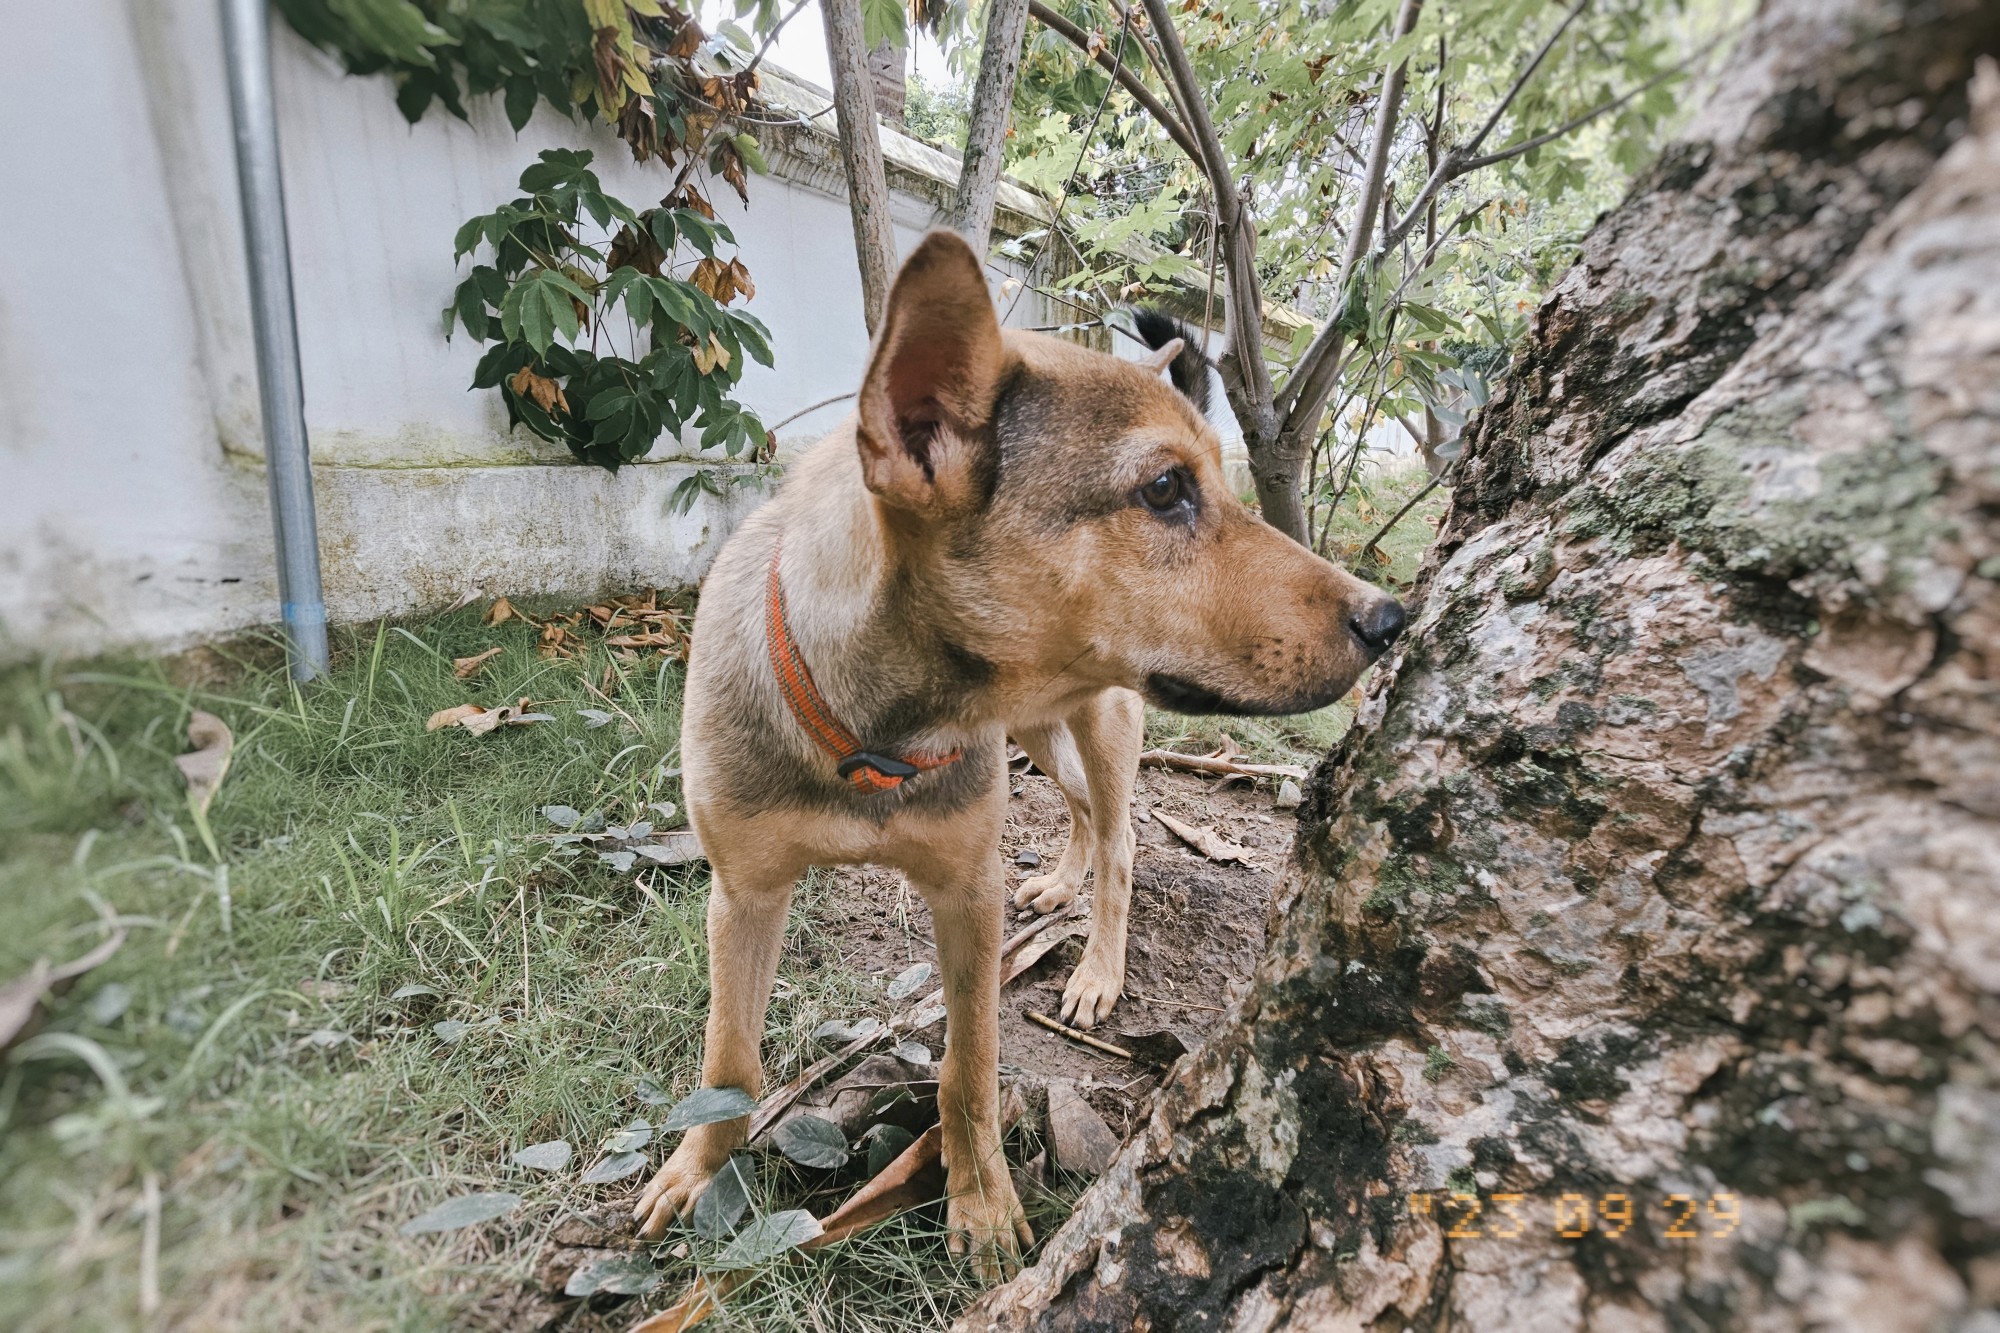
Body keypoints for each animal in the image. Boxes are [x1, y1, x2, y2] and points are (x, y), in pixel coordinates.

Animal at [632, 233, 1400, 1272]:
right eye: (1165, 490)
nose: (1388, 618)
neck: (878, 734)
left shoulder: (967, 896)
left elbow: (970, 1065)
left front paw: (983, 1200)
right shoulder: (744, 892)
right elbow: (730, 1057)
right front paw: (697, 1167)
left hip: (1104, 718)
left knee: (1121, 838)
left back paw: (1097, 968)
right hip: (1040, 723)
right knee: (1075, 804)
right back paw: (1059, 881)